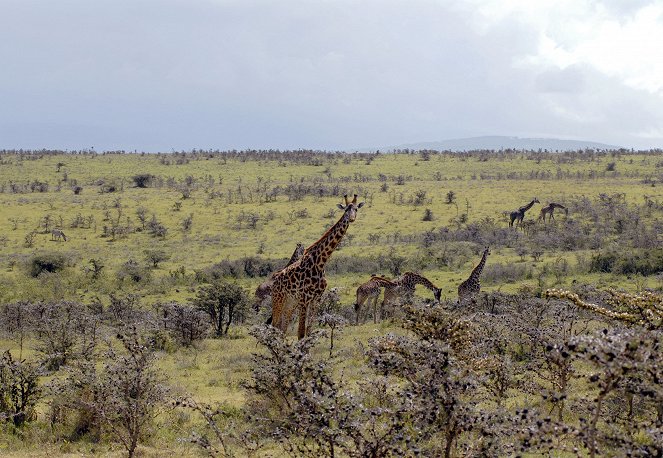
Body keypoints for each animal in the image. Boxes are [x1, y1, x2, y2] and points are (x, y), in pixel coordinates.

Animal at [270, 193, 366, 340]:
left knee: (282, 328)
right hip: (278, 300)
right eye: (345, 210)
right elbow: (301, 333)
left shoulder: (316, 298)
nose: (352, 218)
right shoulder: (304, 298)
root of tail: (274, 280)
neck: (320, 262)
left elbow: (309, 331)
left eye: (356, 209)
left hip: (290, 303)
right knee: (274, 326)